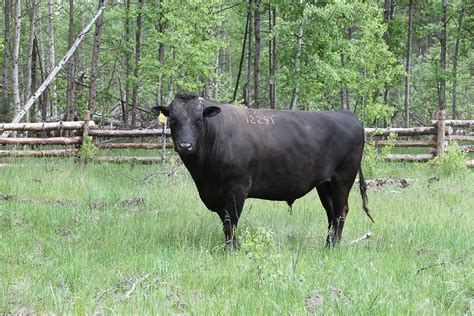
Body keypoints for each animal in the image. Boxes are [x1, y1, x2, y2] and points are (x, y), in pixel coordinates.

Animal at [152, 92, 374, 248]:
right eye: (173, 120)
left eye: (199, 120)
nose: (185, 145)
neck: (203, 175)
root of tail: (347, 114)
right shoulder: (213, 193)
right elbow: (225, 221)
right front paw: (235, 246)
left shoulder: (236, 188)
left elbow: (231, 221)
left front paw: (229, 250)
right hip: (324, 183)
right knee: (330, 212)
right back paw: (327, 244)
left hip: (342, 178)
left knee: (341, 211)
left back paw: (334, 246)